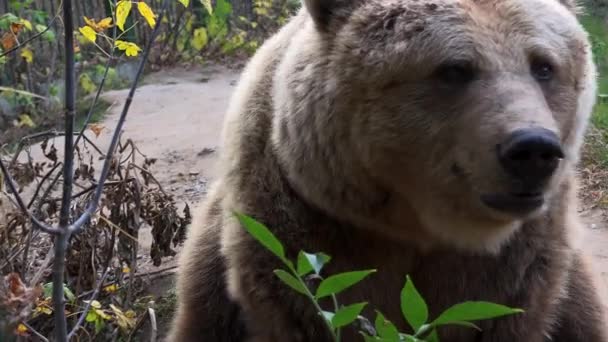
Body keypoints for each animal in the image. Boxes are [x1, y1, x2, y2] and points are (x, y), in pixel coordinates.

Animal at [167, 0, 608, 340]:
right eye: (454, 69)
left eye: (543, 66)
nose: (532, 149)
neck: (415, 227)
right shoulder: (302, 228)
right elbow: (317, 303)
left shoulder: (518, 267)